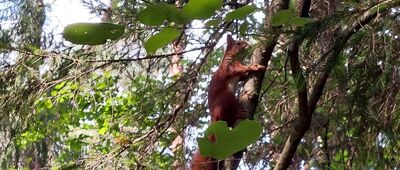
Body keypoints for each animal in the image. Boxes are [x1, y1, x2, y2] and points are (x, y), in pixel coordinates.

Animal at [191, 35, 266, 169]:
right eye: (238, 43)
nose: (248, 44)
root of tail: (214, 119)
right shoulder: (228, 66)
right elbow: (237, 69)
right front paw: (254, 67)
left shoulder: (237, 74)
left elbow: (242, 76)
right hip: (226, 97)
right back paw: (238, 113)